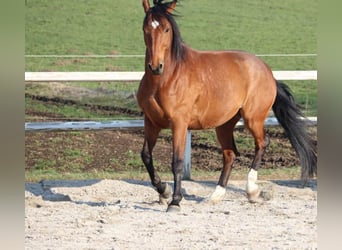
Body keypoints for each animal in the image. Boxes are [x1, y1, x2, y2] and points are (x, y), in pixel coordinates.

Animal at [136, 0, 316, 212]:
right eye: (145, 28)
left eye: (166, 29)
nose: (156, 66)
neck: (166, 79)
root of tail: (267, 72)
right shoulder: (151, 122)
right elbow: (146, 156)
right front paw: (163, 191)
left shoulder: (179, 124)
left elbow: (177, 162)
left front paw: (175, 201)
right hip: (224, 124)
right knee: (230, 154)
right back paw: (215, 196)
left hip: (253, 118)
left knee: (262, 143)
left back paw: (252, 191)